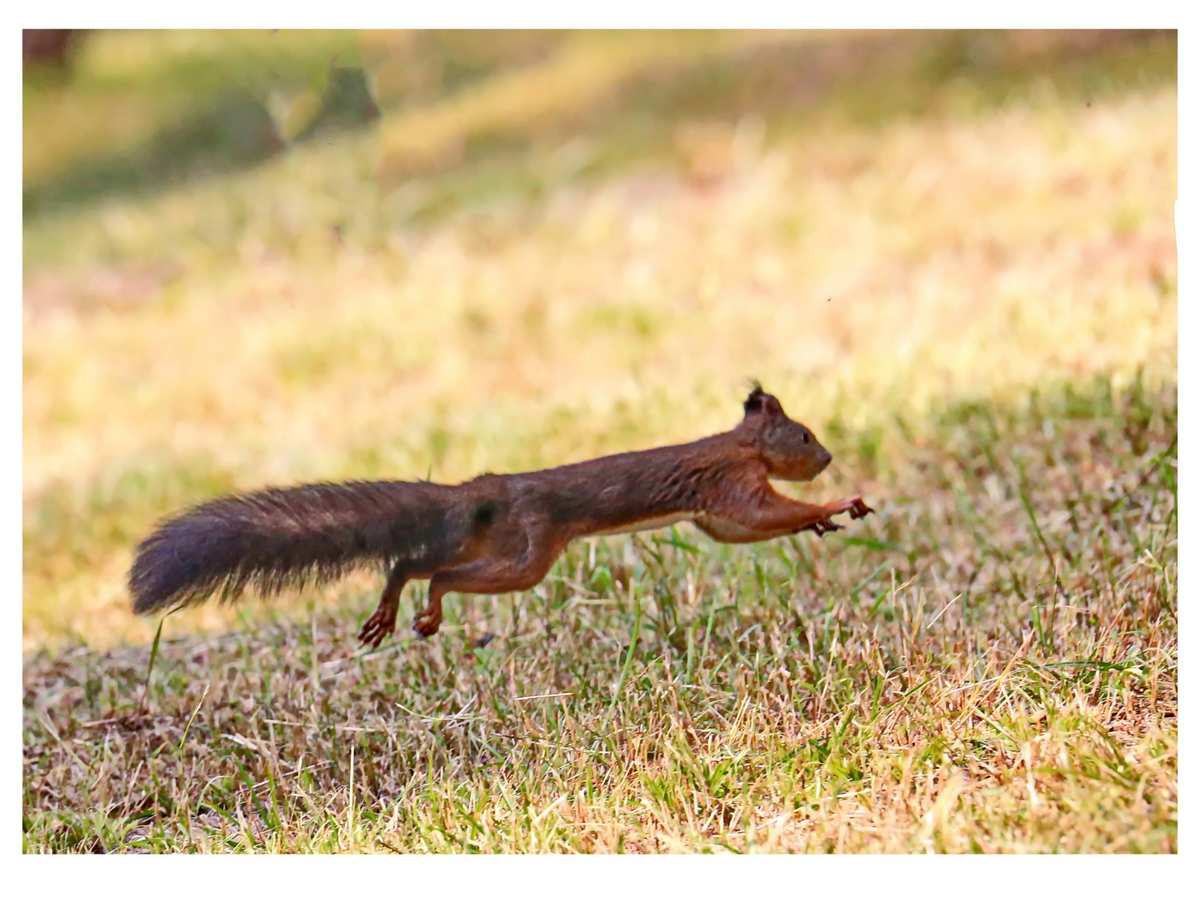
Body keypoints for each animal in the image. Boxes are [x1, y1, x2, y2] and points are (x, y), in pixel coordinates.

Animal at [129, 384, 873, 643]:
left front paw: (820, 517)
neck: (737, 445)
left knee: (413, 560)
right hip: (527, 553)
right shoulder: (730, 485)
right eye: (804, 434)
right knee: (440, 573)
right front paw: (836, 502)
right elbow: (759, 514)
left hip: (495, 540)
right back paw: (424, 610)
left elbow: (743, 530)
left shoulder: (716, 512)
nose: (830, 455)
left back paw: (395, 611)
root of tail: (483, 488)